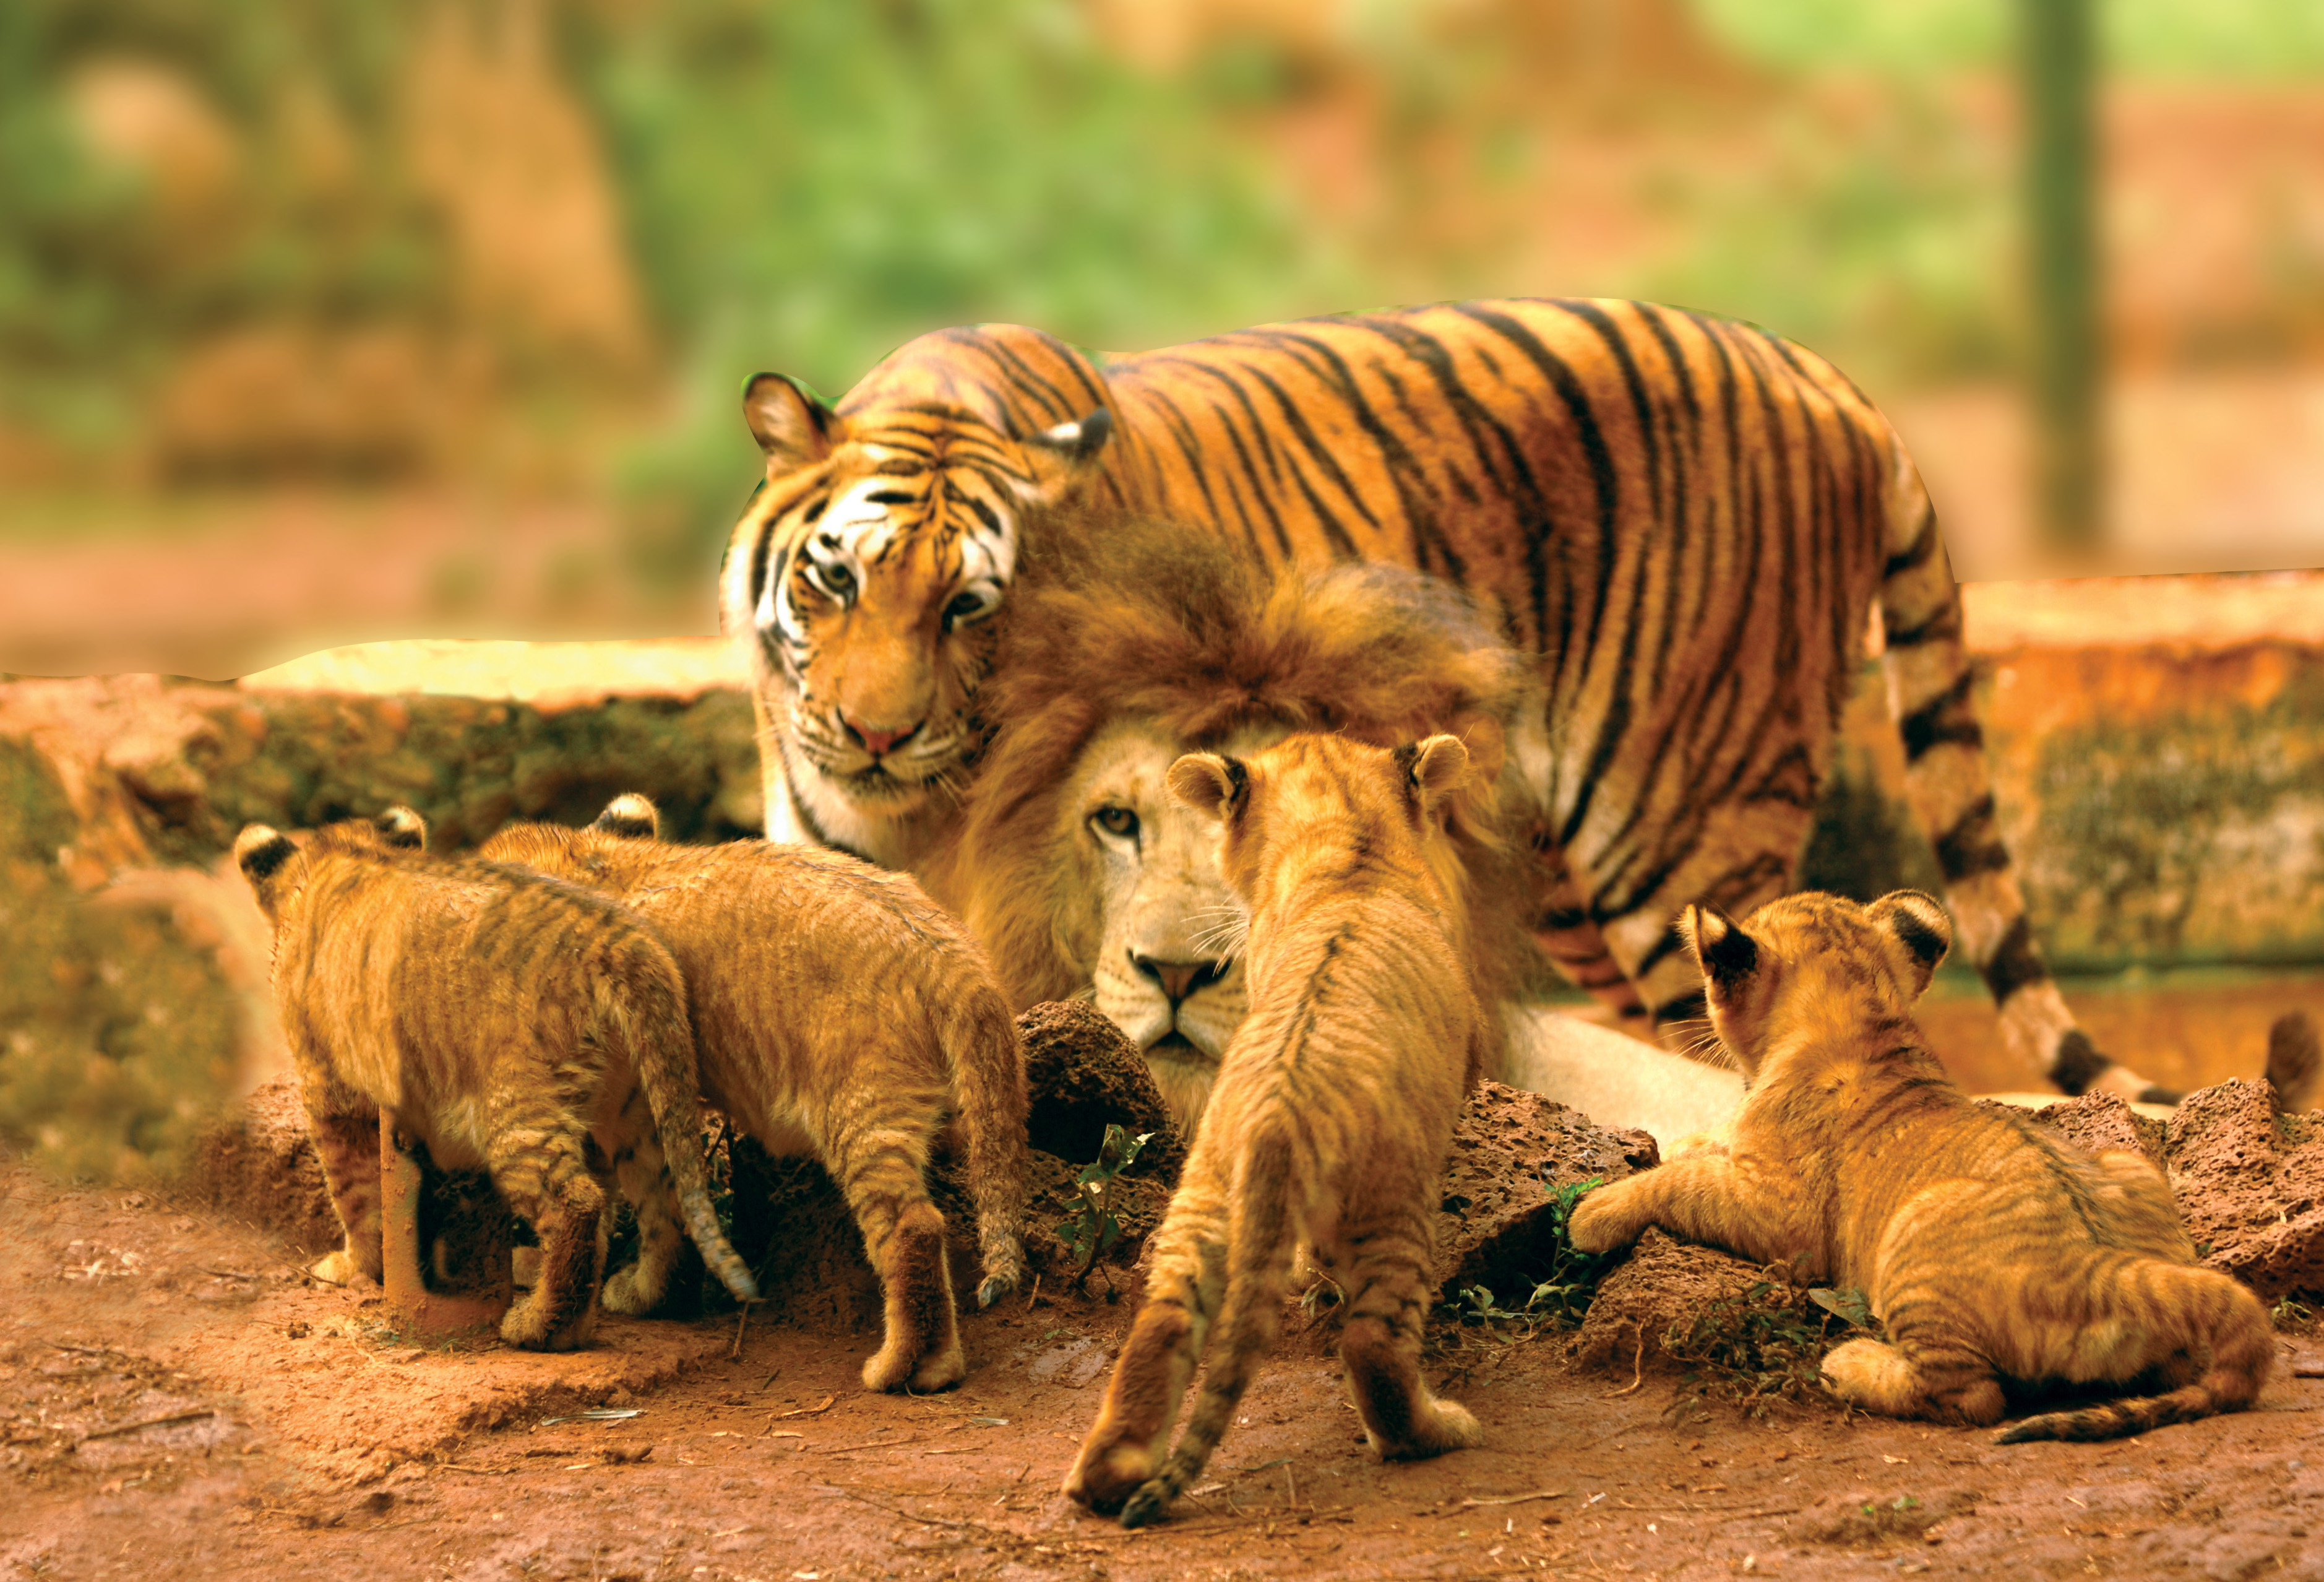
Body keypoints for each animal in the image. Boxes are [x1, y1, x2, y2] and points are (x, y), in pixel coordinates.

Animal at [230, 813, 752, 1347]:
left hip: (515, 1100)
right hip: (635, 1102)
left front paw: (352, 1266)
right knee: (668, 1194)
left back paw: (540, 1327)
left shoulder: (330, 1087)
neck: (345, 854)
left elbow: (353, 1192)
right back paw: (648, 1296)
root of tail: (617, 944)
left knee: (575, 1204)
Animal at [1064, 734, 1478, 1524]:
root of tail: (1281, 1113)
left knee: (1163, 1321)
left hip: (1203, 1192)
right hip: (1395, 1202)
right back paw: (1437, 1430)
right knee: (1372, 1345)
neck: (1349, 847)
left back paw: (1106, 1477)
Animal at [1562, 887, 2268, 1440]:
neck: (1865, 1019)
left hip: (1911, 1234)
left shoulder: (1786, 1220)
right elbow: (1701, 1148)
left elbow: (1681, 1183)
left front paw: (1593, 1211)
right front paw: (1685, 1142)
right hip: (2125, 1161)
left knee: (1972, 1397)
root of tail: (2106, 1267)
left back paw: (1849, 1364)